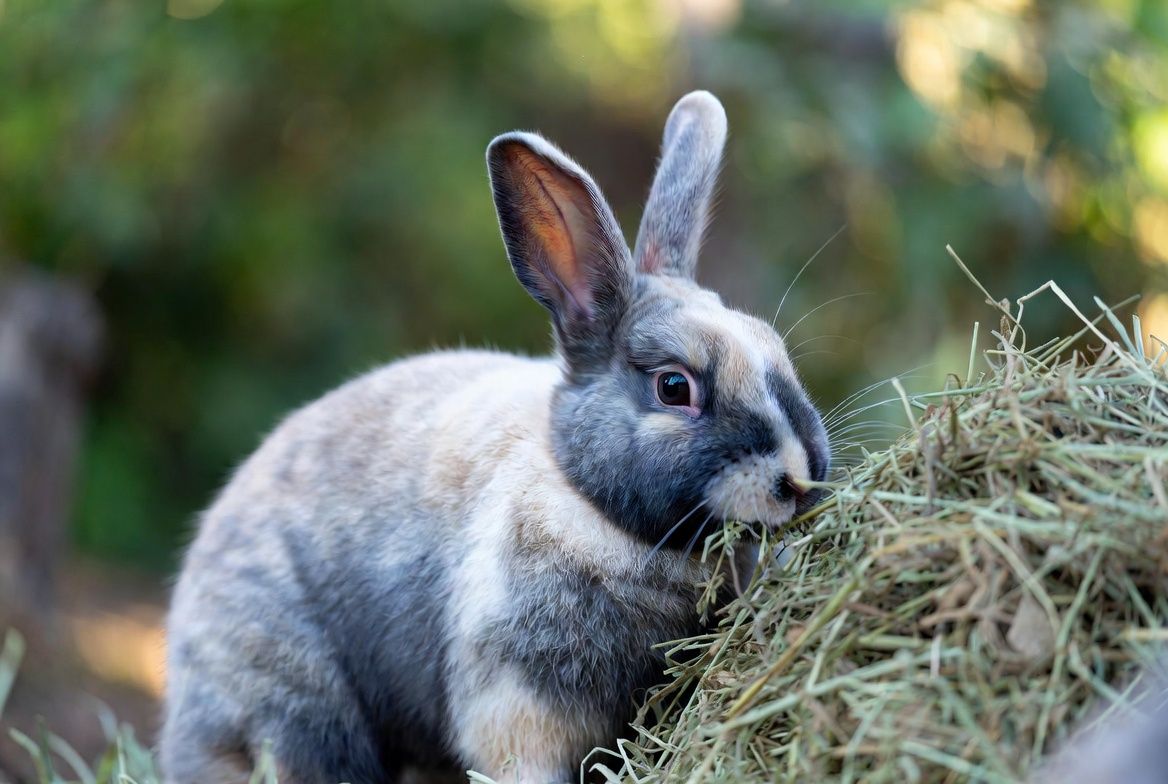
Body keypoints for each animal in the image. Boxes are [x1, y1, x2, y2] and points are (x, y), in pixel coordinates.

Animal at [160, 90, 830, 784]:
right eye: (674, 387)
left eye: (772, 346)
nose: (803, 477)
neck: (586, 500)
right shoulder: (519, 705)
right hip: (289, 707)